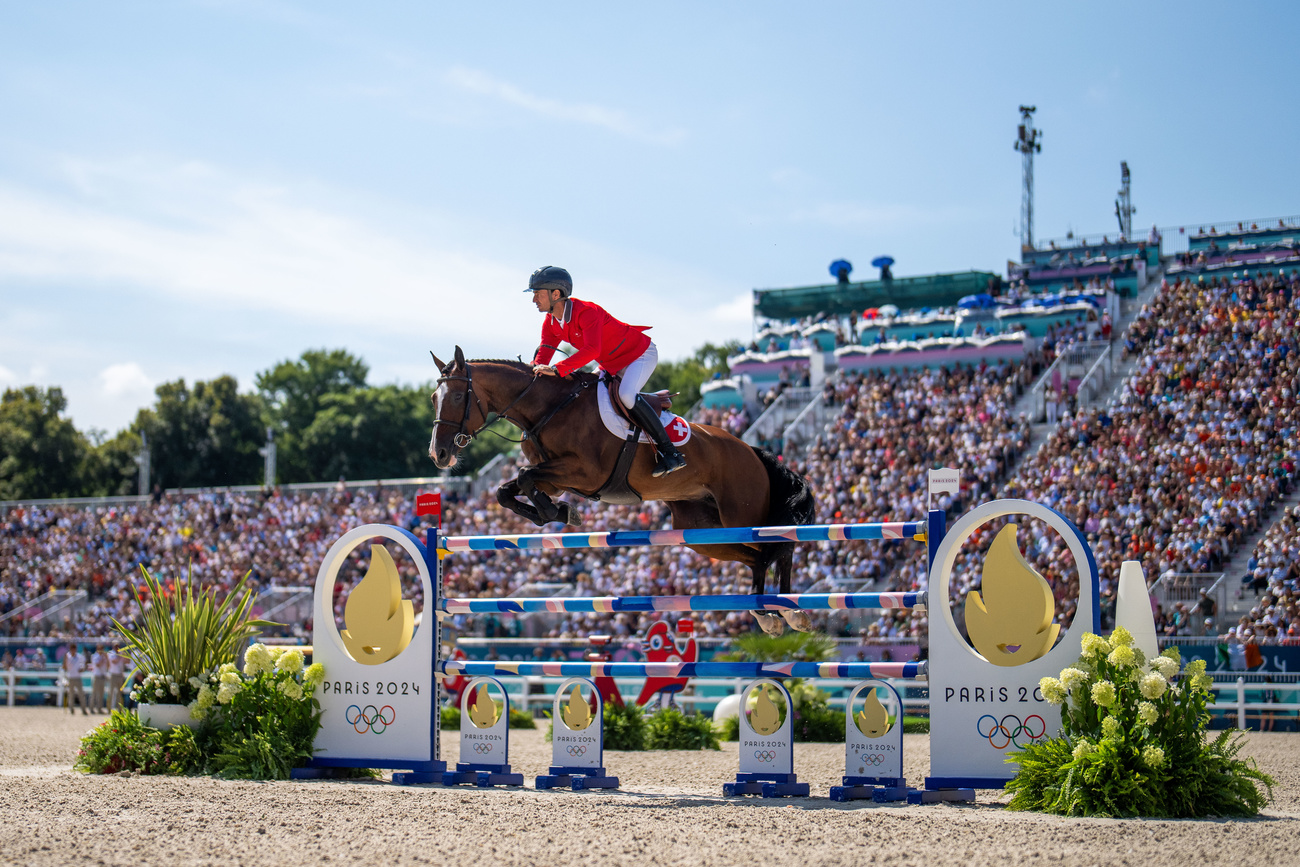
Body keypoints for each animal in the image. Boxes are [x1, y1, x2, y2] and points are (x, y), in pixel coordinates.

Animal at [428, 348, 811, 636]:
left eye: (459, 395)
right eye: (433, 398)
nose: (439, 455)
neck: (547, 408)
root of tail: (753, 451)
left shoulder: (584, 472)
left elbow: (523, 477)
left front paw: (558, 512)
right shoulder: (556, 478)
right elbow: (507, 491)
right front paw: (557, 512)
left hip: (742, 514)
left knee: (779, 546)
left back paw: (790, 613)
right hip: (701, 532)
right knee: (758, 557)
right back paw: (769, 614)